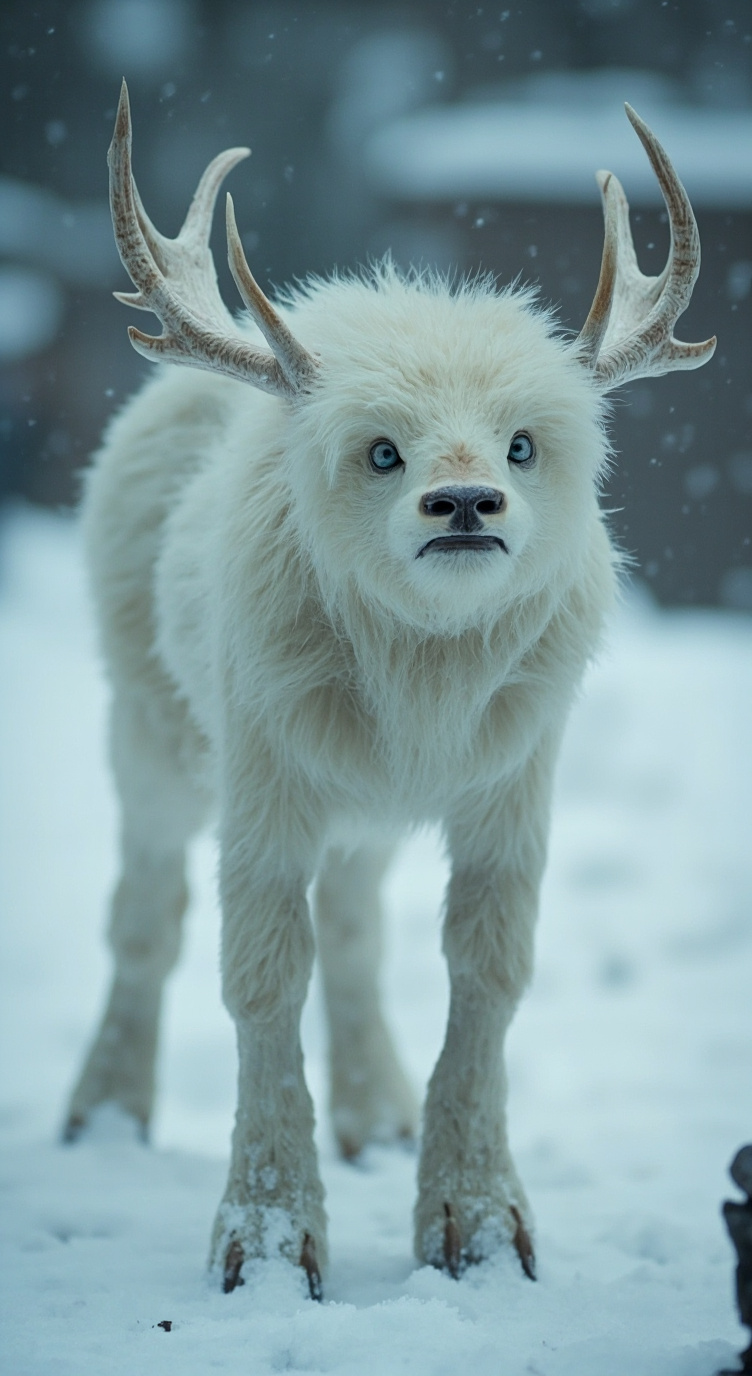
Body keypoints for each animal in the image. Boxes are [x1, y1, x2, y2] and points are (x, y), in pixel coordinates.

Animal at [63, 81, 715, 1301]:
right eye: (381, 452)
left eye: (520, 446)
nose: (464, 503)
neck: (423, 681)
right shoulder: (264, 773)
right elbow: (257, 972)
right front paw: (268, 1241)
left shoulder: (514, 778)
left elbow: (488, 969)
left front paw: (478, 1221)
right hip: (150, 727)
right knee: (145, 914)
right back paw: (104, 1115)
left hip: (354, 812)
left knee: (357, 921)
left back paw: (376, 1116)